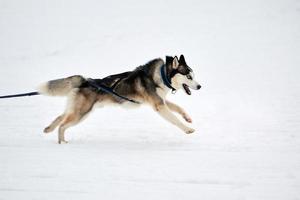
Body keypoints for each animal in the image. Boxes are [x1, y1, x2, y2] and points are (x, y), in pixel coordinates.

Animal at [38, 54, 200, 143]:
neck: (161, 76)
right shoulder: (159, 105)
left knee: (60, 117)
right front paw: (187, 129)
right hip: (81, 113)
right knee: (62, 125)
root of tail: (84, 80)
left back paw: (48, 129)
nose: (200, 86)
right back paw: (62, 143)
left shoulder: (161, 101)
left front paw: (187, 118)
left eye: (193, 76)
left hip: (78, 110)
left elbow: (179, 108)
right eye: (189, 76)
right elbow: (175, 120)